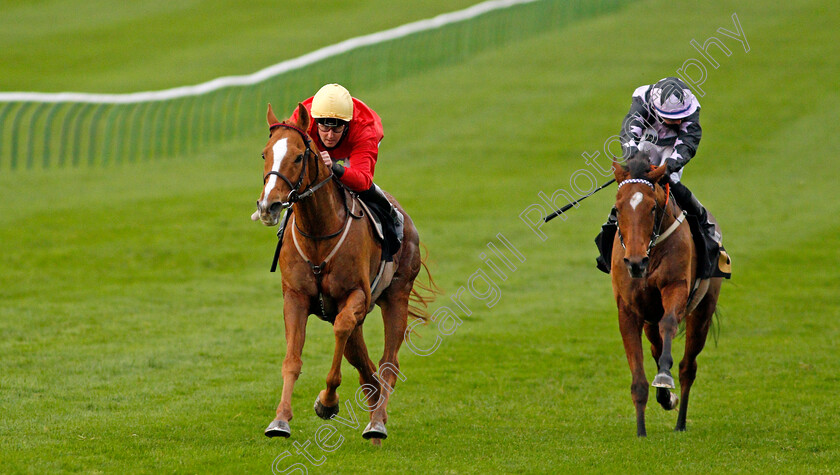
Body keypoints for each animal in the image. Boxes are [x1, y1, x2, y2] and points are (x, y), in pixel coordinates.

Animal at [254, 102, 436, 444]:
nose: (268, 206)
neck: (318, 235)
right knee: (365, 365)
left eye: (297, 156)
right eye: (264, 154)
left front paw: (327, 402)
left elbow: (340, 329)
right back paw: (376, 412)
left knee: (387, 363)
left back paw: (376, 423)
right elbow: (292, 359)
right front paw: (280, 420)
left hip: (396, 296)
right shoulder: (295, 298)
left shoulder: (356, 297)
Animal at [612, 154, 720, 436]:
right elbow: (638, 378)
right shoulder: (628, 309)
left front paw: (663, 379)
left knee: (687, 367)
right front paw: (641, 431)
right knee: (656, 345)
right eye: (618, 208)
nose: (635, 262)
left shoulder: (676, 287)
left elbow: (669, 324)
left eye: (652, 208)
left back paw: (680, 422)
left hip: (702, 311)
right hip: (649, 317)